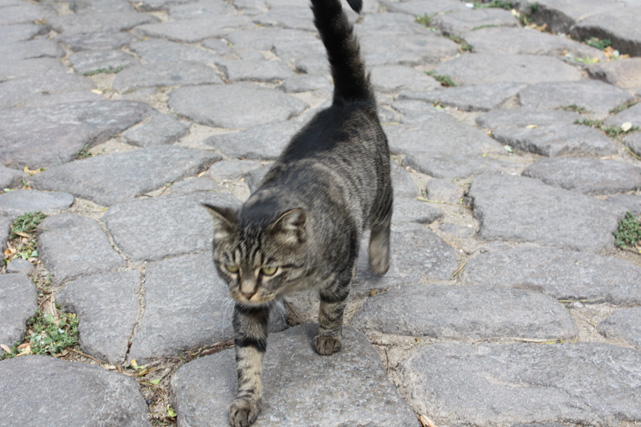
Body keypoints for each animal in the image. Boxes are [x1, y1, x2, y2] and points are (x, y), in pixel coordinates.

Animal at [204, 0, 393, 424]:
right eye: (231, 266)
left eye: (269, 268)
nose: (246, 288)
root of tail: (349, 102)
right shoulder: (247, 309)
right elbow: (248, 355)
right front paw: (247, 400)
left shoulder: (340, 268)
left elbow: (333, 307)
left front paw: (327, 336)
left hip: (379, 194)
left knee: (385, 219)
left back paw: (380, 259)